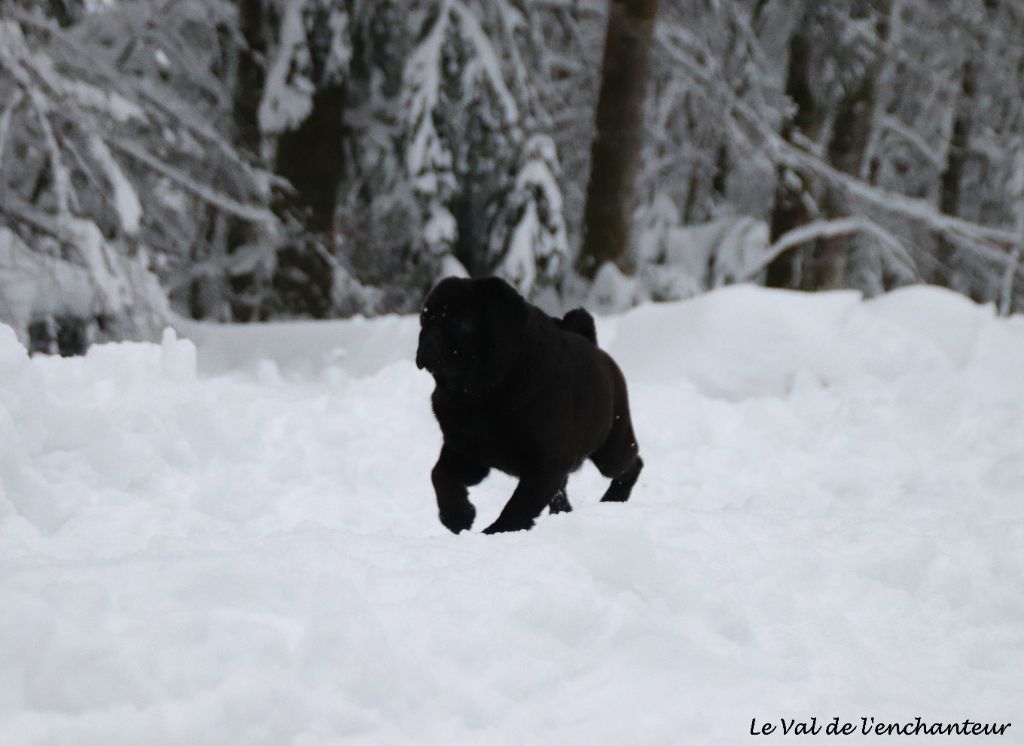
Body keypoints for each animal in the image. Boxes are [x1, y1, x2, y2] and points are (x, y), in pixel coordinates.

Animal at [413, 276, 638, 532]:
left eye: (463, 323)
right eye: (425, 318)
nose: (429, 336)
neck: (480, 396)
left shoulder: (545, 465)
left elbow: (519, 505)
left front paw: (495, 532)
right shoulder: (464, 451)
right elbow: (440, 475)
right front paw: (458, 516)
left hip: (611, 451)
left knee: (632, 464)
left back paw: (614, 498)